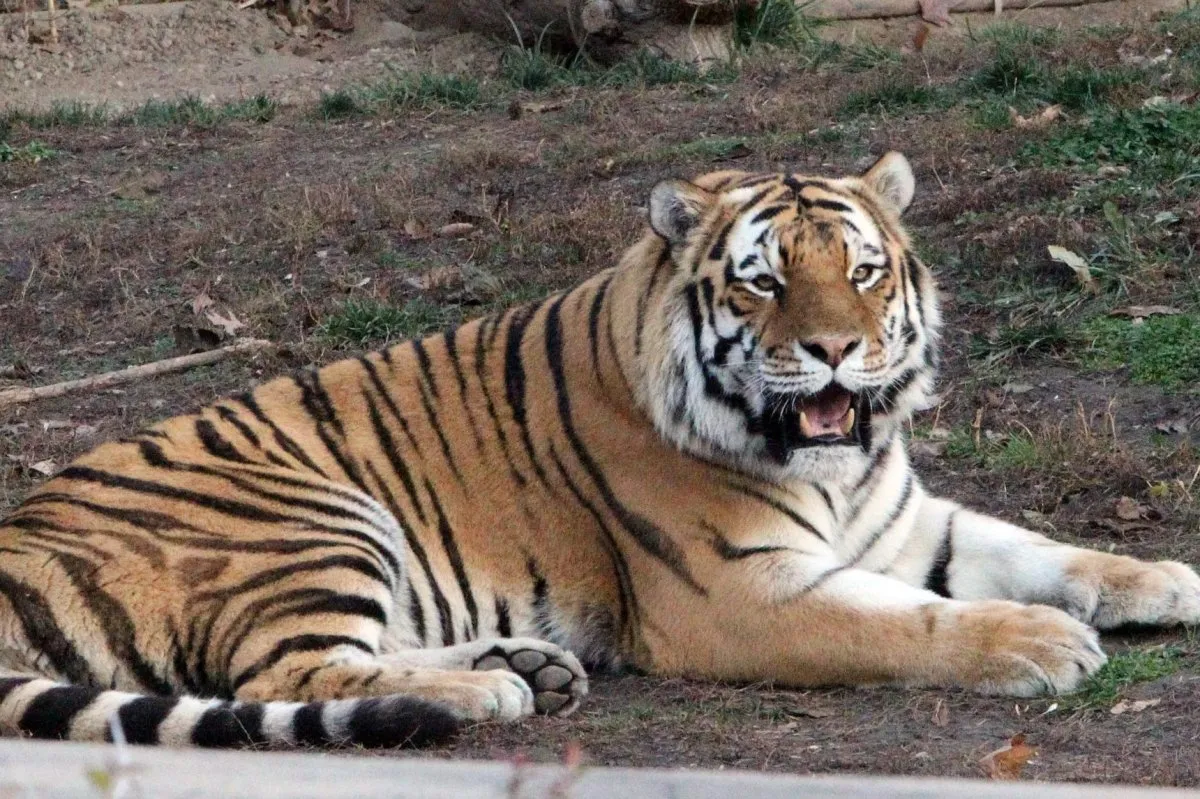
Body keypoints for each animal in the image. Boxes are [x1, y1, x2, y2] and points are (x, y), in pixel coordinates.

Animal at [2, 152, 1198, 751]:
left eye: (861, 270)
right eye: (764, 281)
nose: (837, 350)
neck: (837, 464)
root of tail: (16, 537)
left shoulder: (904, 523)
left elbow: (1041, 548)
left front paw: (1164, 577)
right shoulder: (735, 593)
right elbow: (909, 623)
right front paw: (1037, 643)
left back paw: (527, 665)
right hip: (308, 517)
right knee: (292, 671)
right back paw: (485, 697)